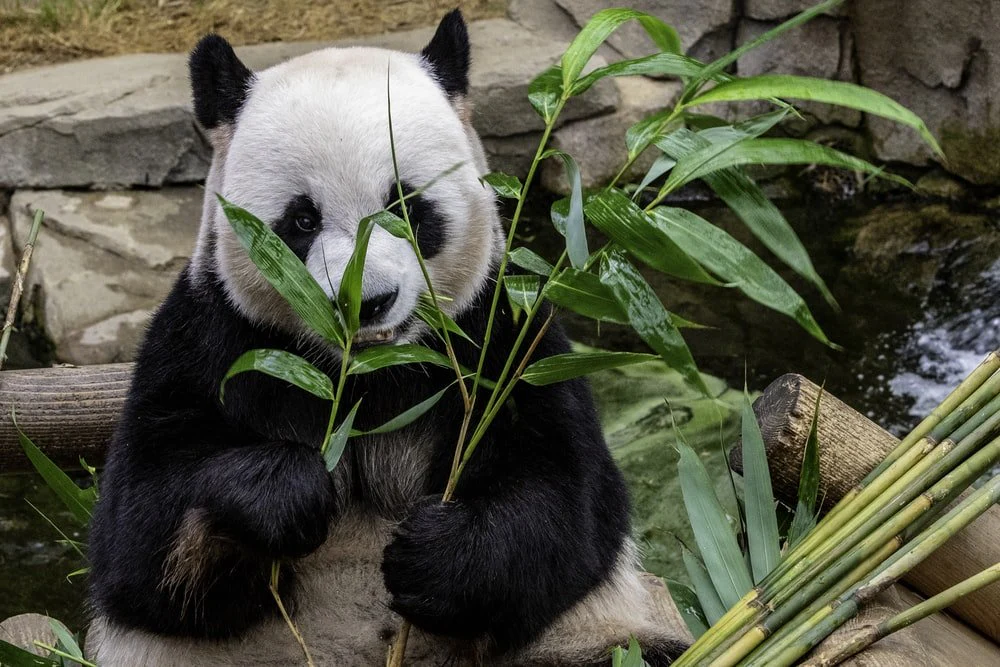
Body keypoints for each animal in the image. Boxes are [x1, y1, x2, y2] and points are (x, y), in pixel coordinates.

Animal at [86, 10, 690, 666]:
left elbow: (568, 501)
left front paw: (434, 558)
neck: (368, 375)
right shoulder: (212, 337)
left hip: (580, 639)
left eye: (404, 205)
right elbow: (141, 534)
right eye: (302, 220)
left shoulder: (502, 337)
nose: (366, 302)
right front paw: (288, 491)